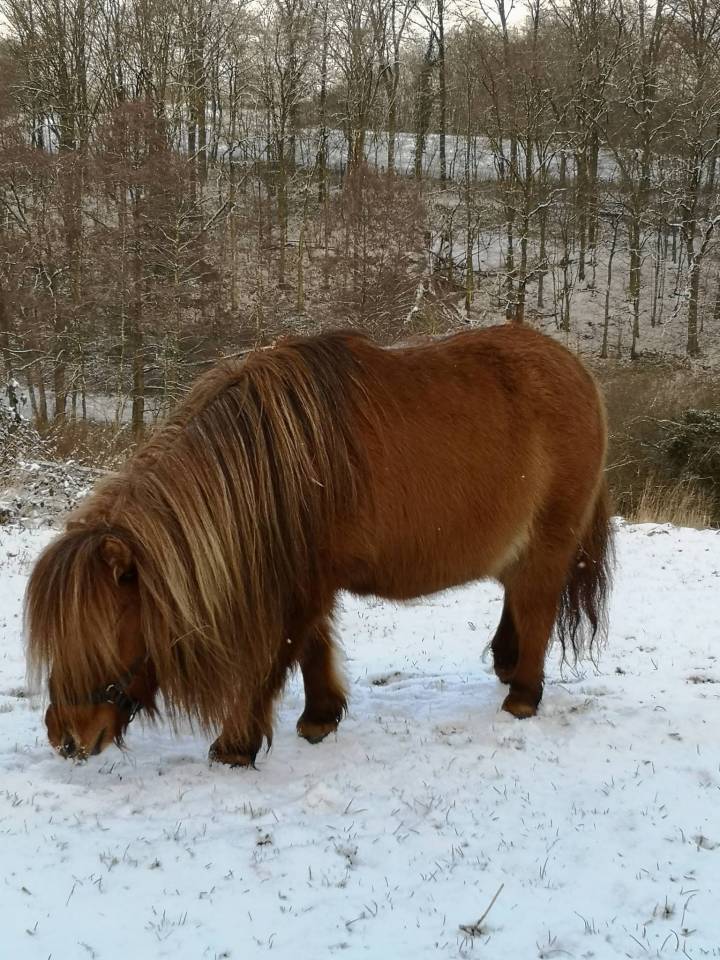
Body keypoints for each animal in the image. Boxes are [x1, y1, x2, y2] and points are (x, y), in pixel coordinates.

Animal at [25, 324, 614, 766]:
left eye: (101, 634)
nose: (67, 736)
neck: (272, 468)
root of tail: (577, 370)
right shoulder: (308, 580)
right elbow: (311, 648)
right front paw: (319, 717)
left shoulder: (299, 588)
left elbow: (273, 658)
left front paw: (236, 744)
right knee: (518, 599)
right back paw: (508, 664)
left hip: (549, 545)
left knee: (537, 608)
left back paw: (522, 697)